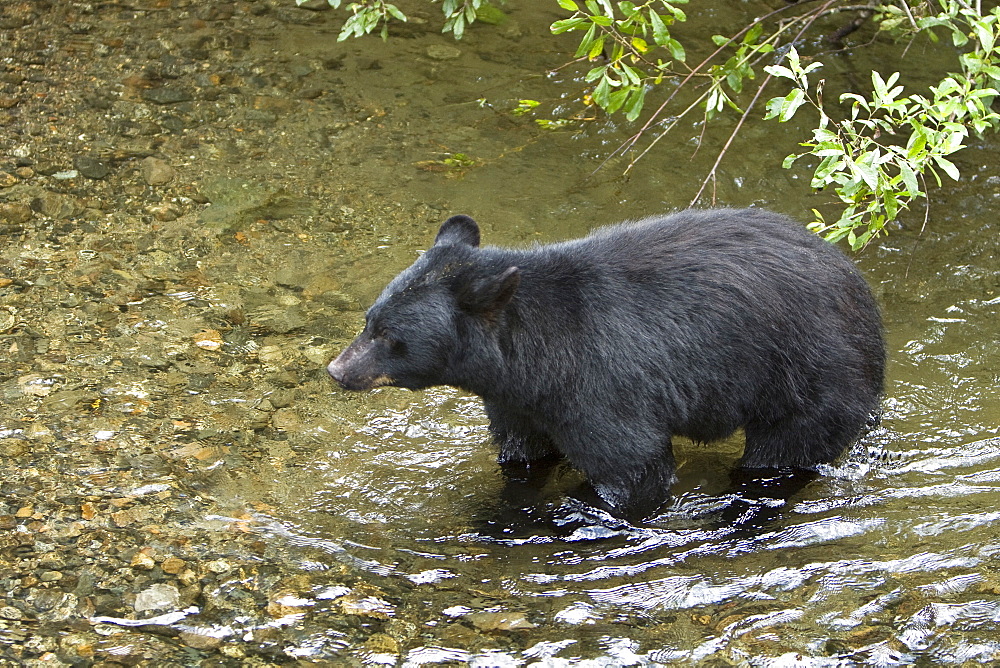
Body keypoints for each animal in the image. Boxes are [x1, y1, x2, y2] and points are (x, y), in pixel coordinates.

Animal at [326, 209, 884, 516]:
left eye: (390, 336)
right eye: (369, 320)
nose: (337, 370)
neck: (531, 358)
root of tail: (861, 288)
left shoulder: (598, 383)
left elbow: (632, 469)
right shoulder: (516, 399)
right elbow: (522, 453)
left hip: (809, 374)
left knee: (782, 456)